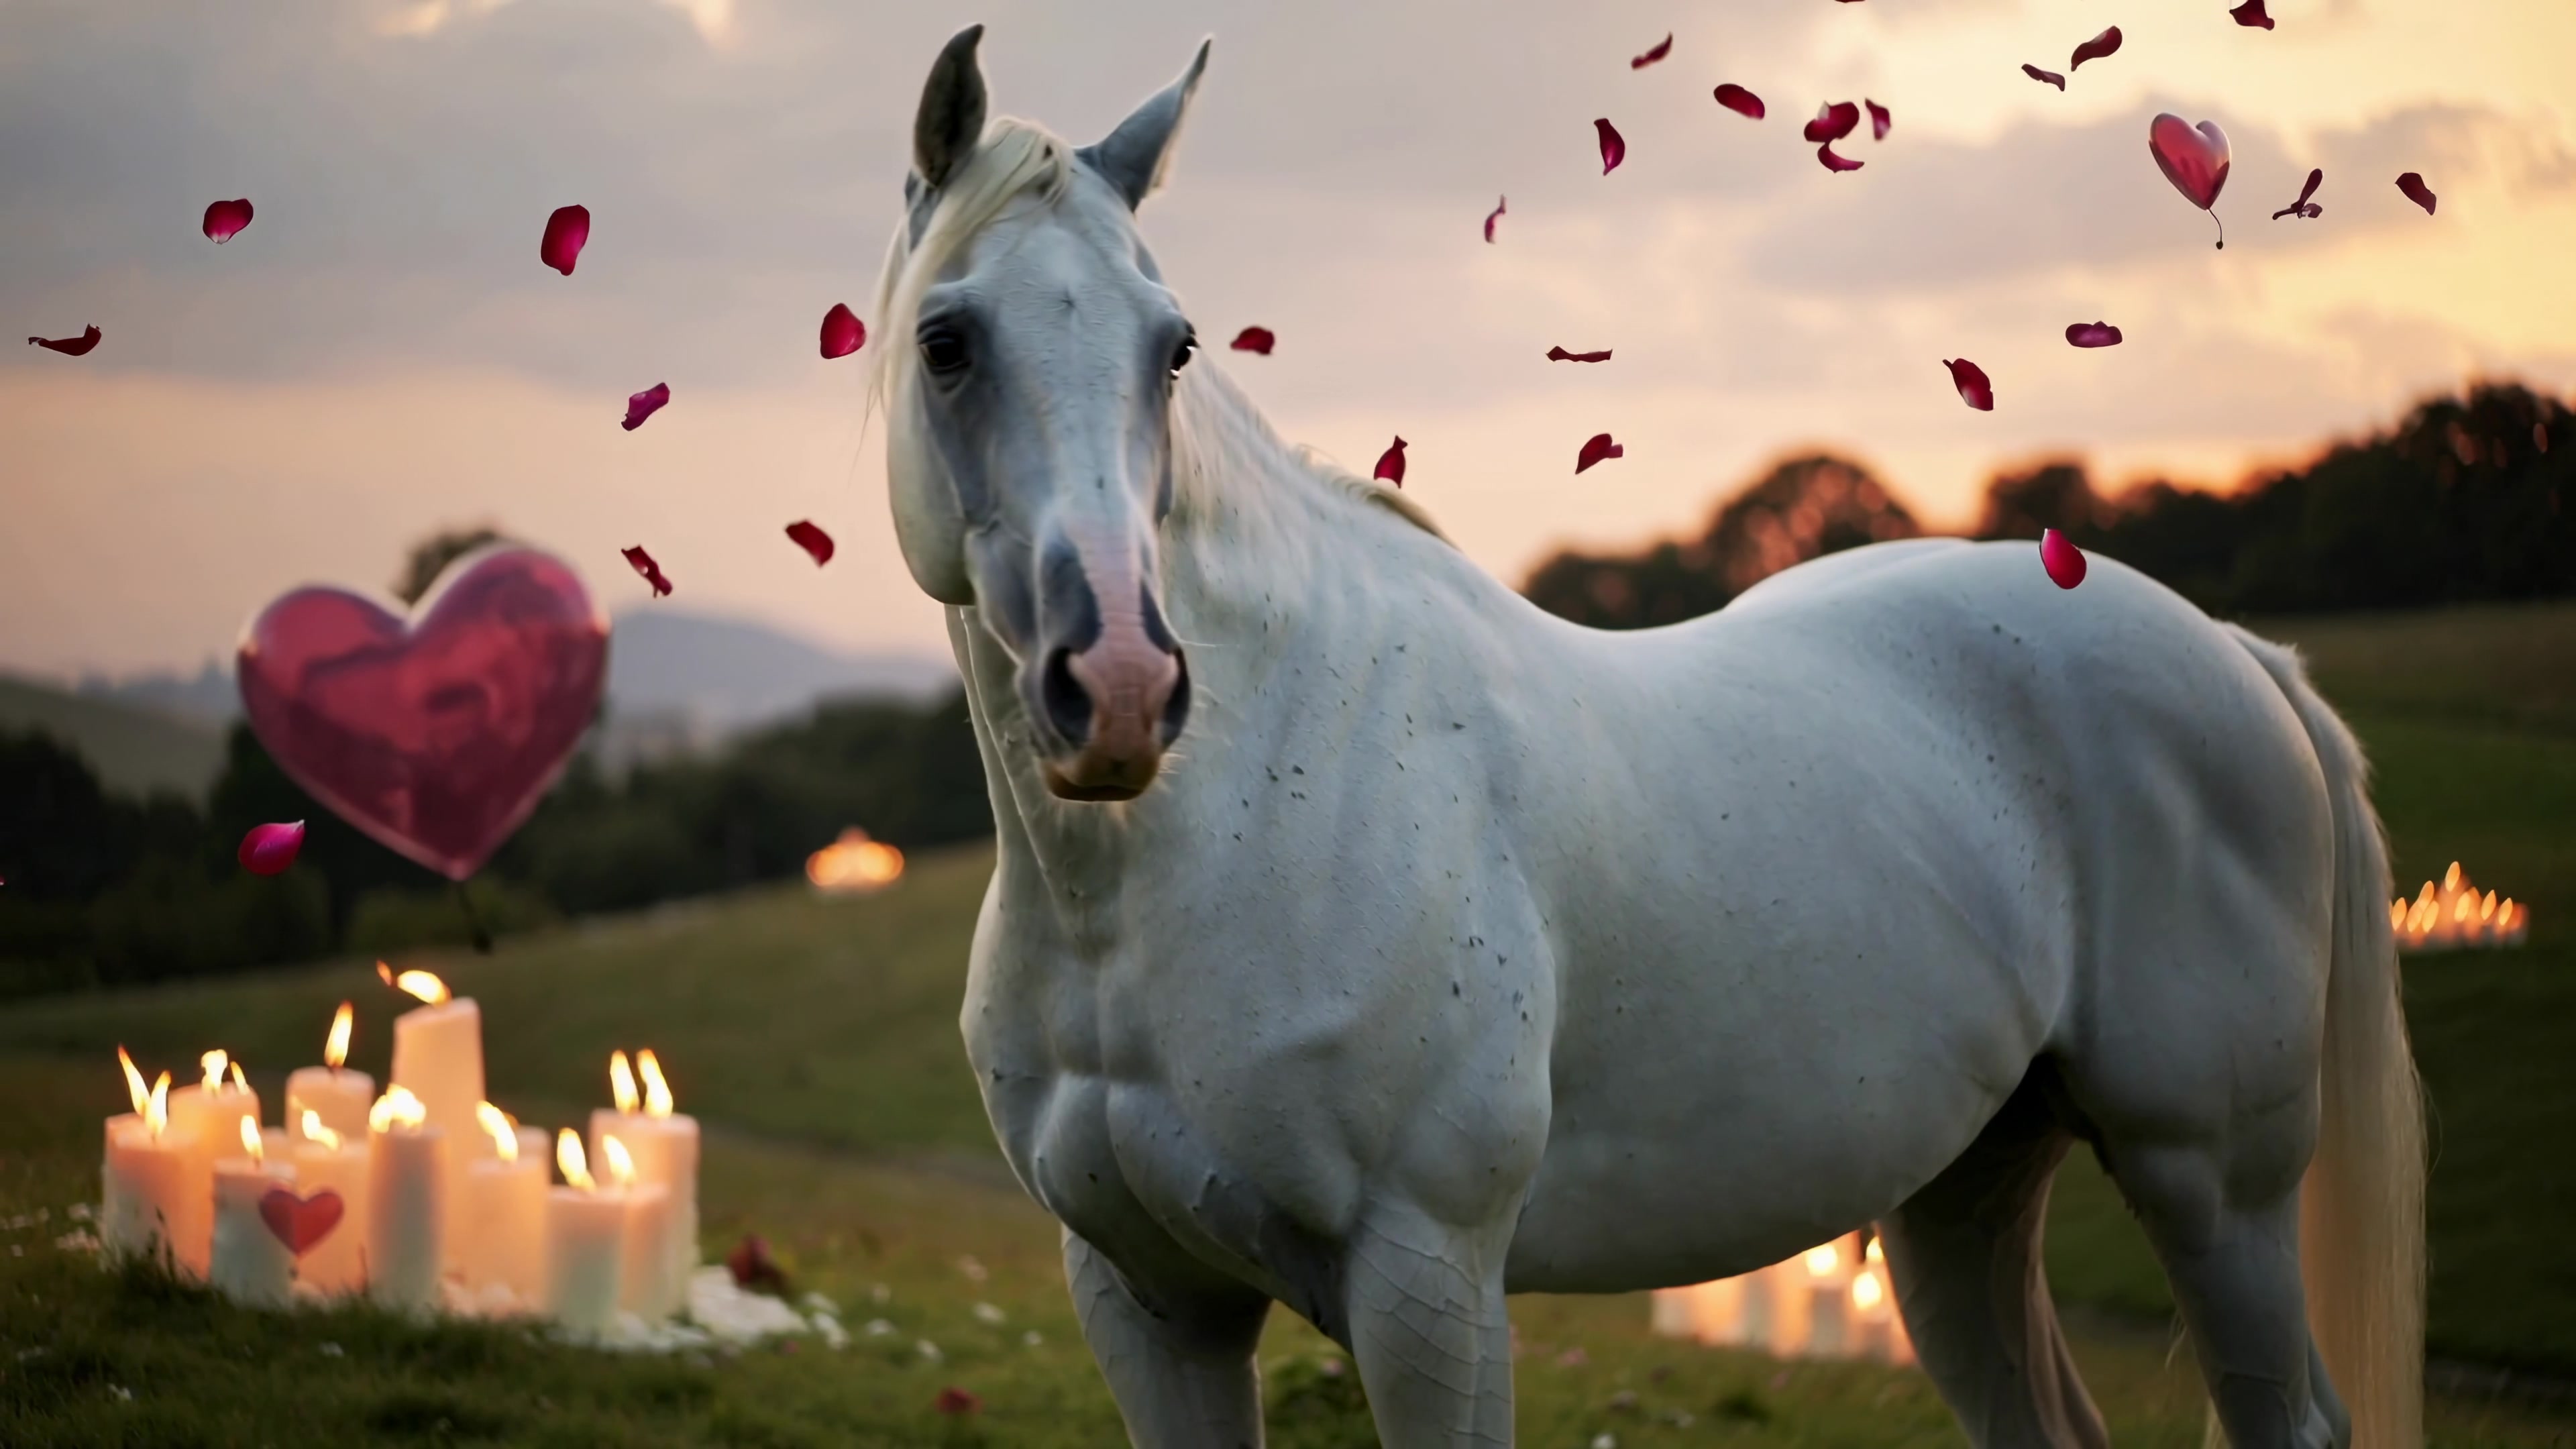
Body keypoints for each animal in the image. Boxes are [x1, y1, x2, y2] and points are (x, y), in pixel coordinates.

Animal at [866, 27, 2426, 1449]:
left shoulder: (1428, 1284)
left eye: (1174, 346)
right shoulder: (1149, 1300)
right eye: (948, 342)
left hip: (2210, 1184)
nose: (1123, 684)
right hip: (1962, 1199)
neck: (1211, 840)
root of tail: (2234, 653)